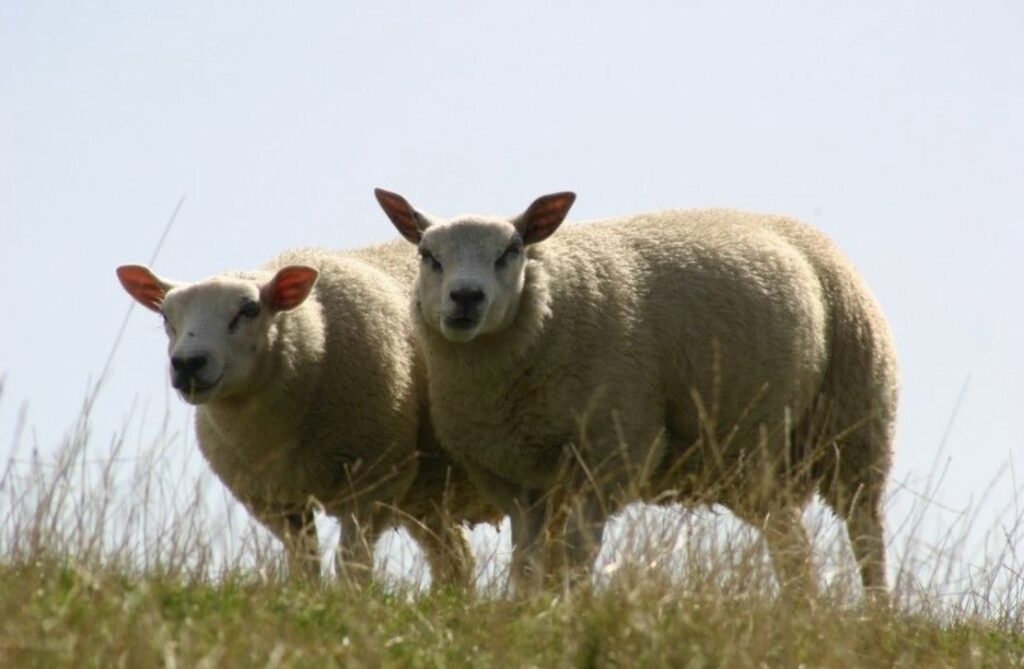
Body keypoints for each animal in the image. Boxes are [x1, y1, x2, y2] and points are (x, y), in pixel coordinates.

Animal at [116, 242, 498, 587]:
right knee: (456, 562)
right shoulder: (276, 502)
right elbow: (304, 566)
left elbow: (351, 564)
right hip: (428, 497)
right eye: (165, 316)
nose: (187, 364)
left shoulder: (374, 481)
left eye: (250, 309)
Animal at [374, 188, 899, 601]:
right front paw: (530, 611)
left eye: (513, 248)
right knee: (791, 544)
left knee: (865, 535)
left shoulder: (611, 453)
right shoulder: (516, 477)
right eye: (427, 254)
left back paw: (876, 614)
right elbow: (526, 562)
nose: (466, 297)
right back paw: (801, 609)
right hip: (755, 460)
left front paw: (568, 611)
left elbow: (575, 556)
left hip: (857, 424)